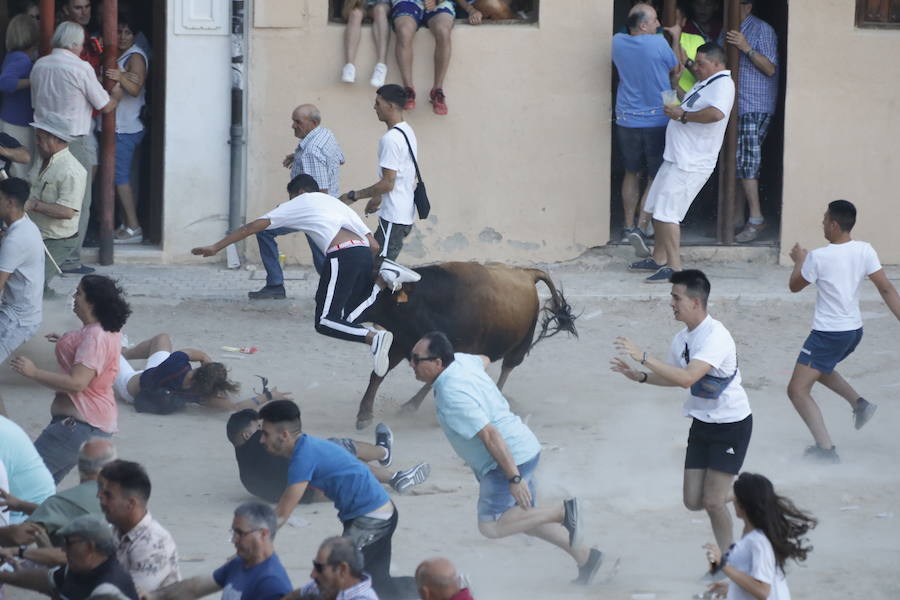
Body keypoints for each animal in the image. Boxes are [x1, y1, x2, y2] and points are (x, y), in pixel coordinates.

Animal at [354, 260, 576, 428]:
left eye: (371, 288)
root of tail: (527, 273)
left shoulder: (457, 351)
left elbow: (434, 378)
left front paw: (409, 407)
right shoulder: (401, 344)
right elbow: (378, 374)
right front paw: (364, 414)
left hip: (522, 342)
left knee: (508, 367)